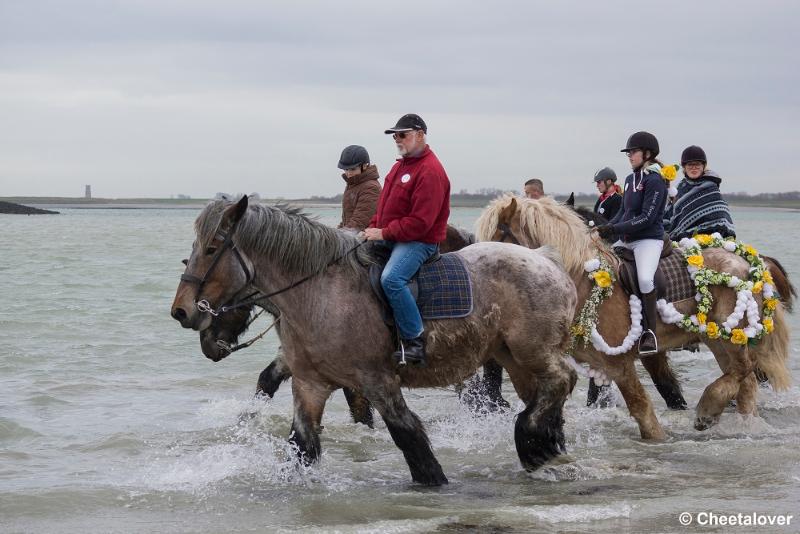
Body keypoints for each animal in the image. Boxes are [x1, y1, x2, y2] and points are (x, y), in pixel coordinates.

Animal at [172, 198, 580, 490]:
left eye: (212, 248)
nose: (181, 311)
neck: (321, 293)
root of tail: (545, 258)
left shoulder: (378, 381)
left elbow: (409, 437)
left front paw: (434, 482)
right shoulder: (310, 384)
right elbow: (301, 444)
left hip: (533, 351)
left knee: (563, 381)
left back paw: (532, 442)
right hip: (514, 358)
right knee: (547, 394)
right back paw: (545, 444)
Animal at [476, 196, 792, 440]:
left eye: (498, 238)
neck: (584, 280)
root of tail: (752, 262)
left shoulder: (620, 362)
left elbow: (642, 408)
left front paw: (659, 439)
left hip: (732, 334)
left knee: (743, 371)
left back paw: (707, 411)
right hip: (717, 337)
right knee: (744, 381)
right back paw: (743, 424)